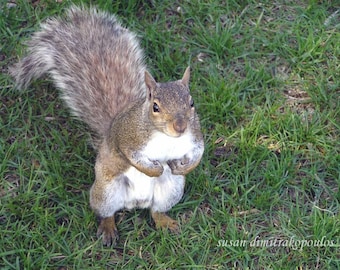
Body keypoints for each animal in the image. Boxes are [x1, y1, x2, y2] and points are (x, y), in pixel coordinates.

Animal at [9, 5, 205, 247]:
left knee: (156, 211)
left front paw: (185, 167)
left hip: (171, 190)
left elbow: (199, 151)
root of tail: (136, 202)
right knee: (106, 212)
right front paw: (153, 169)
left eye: (191, 103)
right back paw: (108, 229)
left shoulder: (194, 136)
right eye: (155, 107)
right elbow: (133, 157)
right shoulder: (128, 138)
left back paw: (165, 222)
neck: (166, 137)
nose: (180, 127)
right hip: (105, 192)